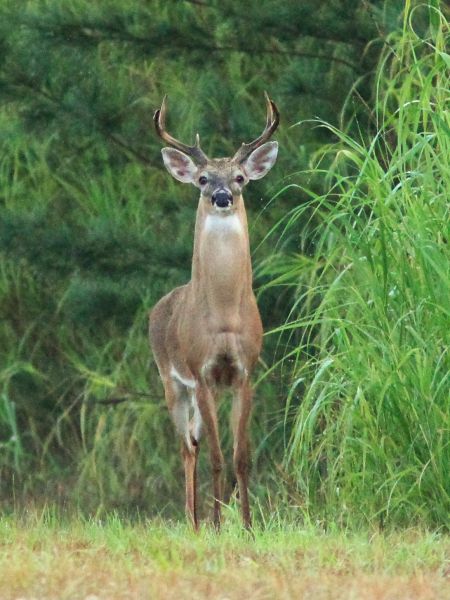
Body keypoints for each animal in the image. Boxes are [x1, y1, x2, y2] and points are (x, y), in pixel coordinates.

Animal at [149, 94, 280, 528]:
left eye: (240, 177)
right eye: (203, 179)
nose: (222, 196)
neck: (224, 317)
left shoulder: (244, 372)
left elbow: (240, 458)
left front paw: (248, 525)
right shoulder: (201, 371)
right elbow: (217, 460)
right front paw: (218, 526)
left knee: (196, 440)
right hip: (172, 381)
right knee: (188, 447)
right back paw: (193, 522)